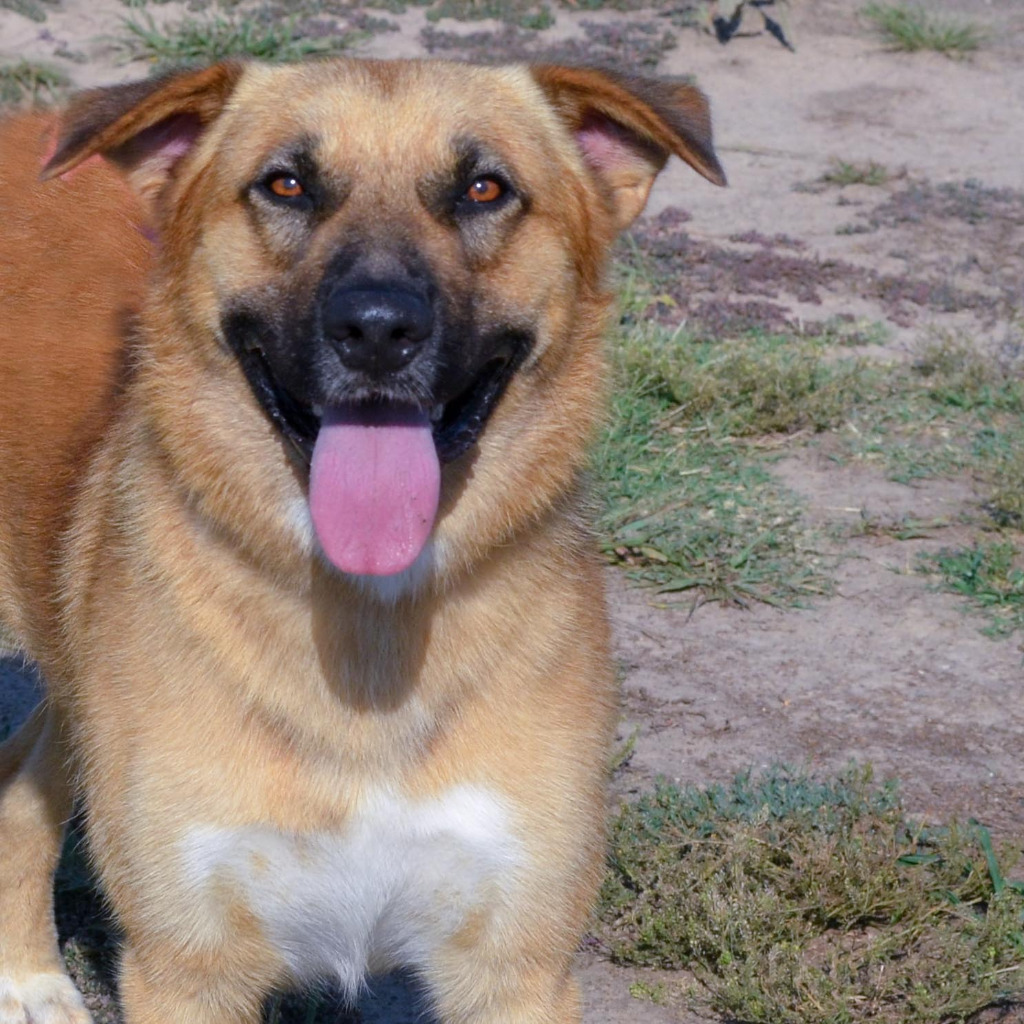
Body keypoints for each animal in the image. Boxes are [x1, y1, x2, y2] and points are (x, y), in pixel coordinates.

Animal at [0, 58, 720, 1024]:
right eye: (286, 184)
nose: (377, 330)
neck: (367, 631)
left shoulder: (518, 966)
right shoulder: (187, 966)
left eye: (485, 188)